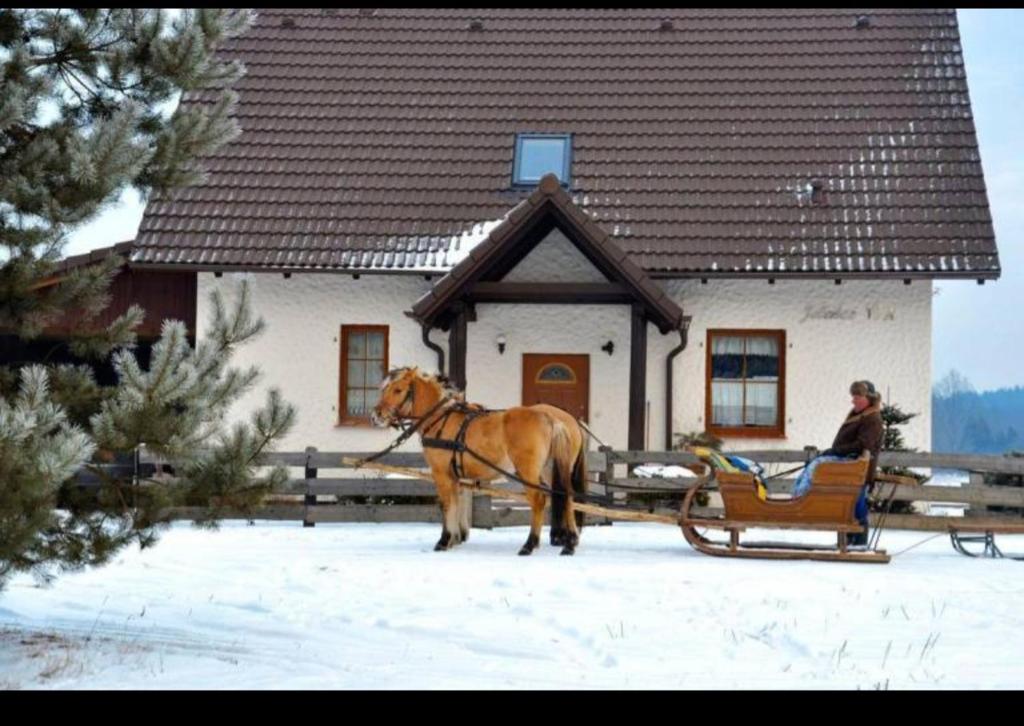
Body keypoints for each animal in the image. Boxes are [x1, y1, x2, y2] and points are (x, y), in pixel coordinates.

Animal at [372, 368, 589, 557]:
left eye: (398, 390)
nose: (376, 415)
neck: (441, 419)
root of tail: (551, 418)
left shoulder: (441, 474)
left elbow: (446, 505)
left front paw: (444, 540)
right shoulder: (455, 477)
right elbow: (456, 503)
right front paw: (454, 538)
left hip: (528, 471)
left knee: (538, 501)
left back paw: (529, 544)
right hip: (551, 470)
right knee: (567, 498)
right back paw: (569, 544)